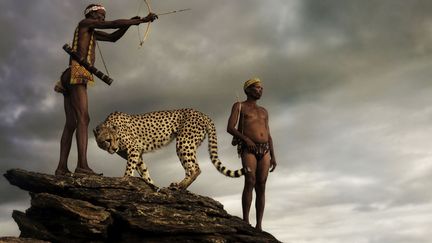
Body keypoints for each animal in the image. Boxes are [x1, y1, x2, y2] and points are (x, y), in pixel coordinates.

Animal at [93, 108, 246, 190]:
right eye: (108, 140)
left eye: (116, 139)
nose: (114, 148)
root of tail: (202, 113)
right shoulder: (137, 154)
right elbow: (144, 170)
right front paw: (152, 185)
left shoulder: (134, 149)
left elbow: (130, 168)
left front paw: (125, 179)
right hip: (188, 144)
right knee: (192, 168)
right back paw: (180, 185)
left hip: (184, 142)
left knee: (195, 169)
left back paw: (180, 186)